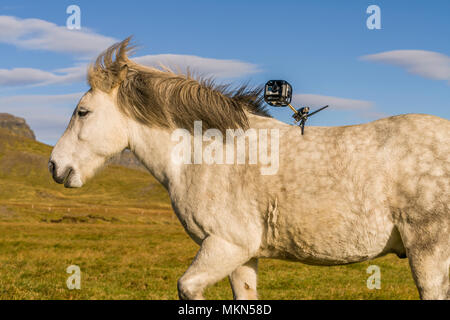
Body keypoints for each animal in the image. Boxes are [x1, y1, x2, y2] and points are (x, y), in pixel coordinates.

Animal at [49, 37, 450, 300]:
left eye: (82, 112)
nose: (55, 166)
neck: (208, 154)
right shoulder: (242, 256)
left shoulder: (225, 245)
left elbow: (188, 288)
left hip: (428, 254)